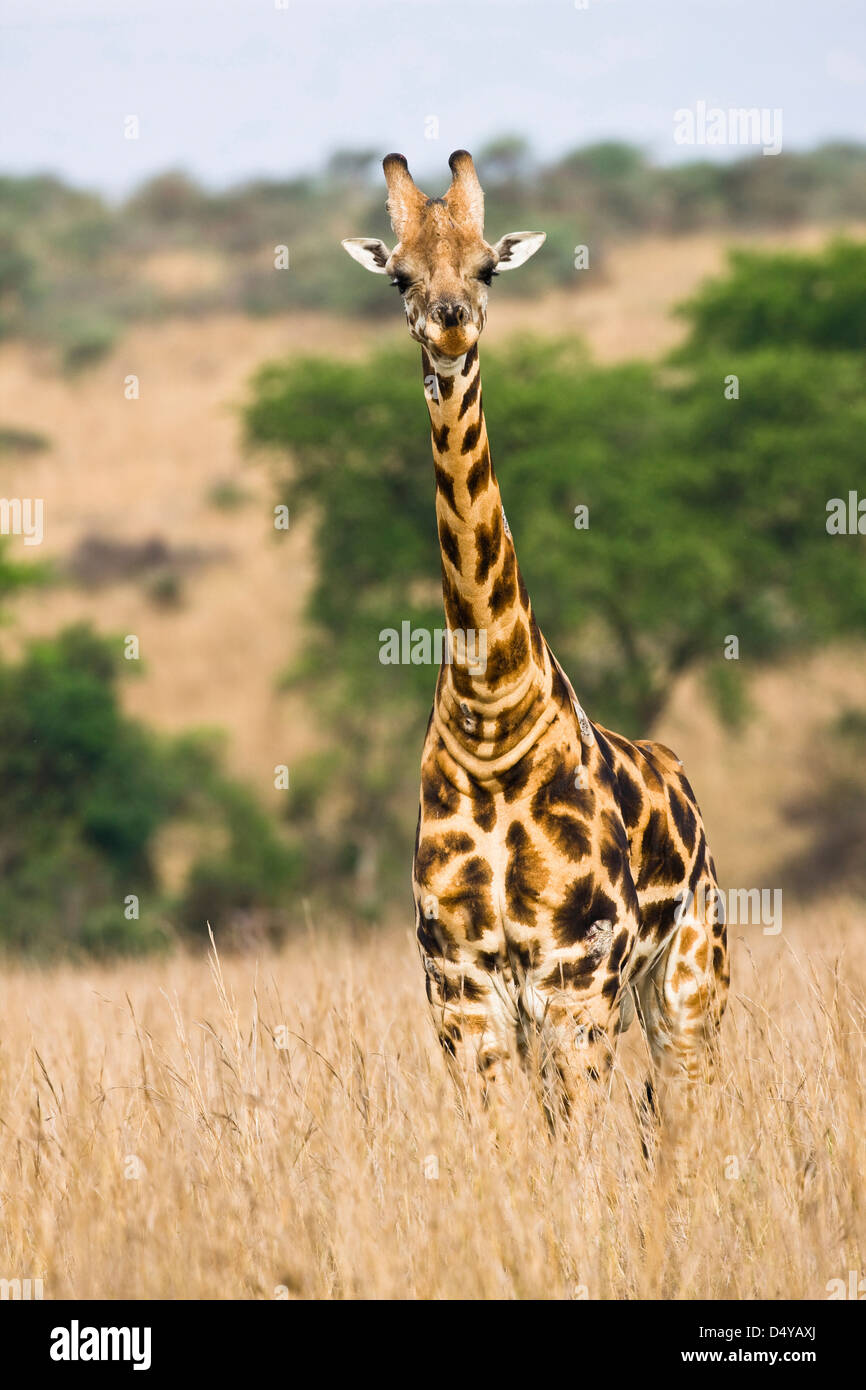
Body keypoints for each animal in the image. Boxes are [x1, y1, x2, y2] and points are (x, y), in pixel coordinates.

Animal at [341, 152, 728, 1123]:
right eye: (400, 275)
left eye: (487, 268)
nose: (449, 324)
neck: (491, 718)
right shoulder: (462, 988)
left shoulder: (574, 979)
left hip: (688, 982)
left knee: (687, 1115)